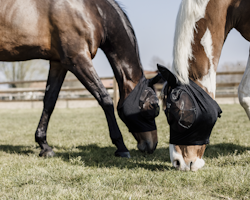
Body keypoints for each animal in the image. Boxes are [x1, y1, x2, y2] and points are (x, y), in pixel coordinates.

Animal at [0, 0, 159, 158]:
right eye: (153, 106)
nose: (152, 145)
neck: (92, 11)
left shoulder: (58, 63)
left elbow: (49, 101)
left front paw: (44, 146)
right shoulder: (77, 59)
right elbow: (105, 99)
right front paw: (121, 147)